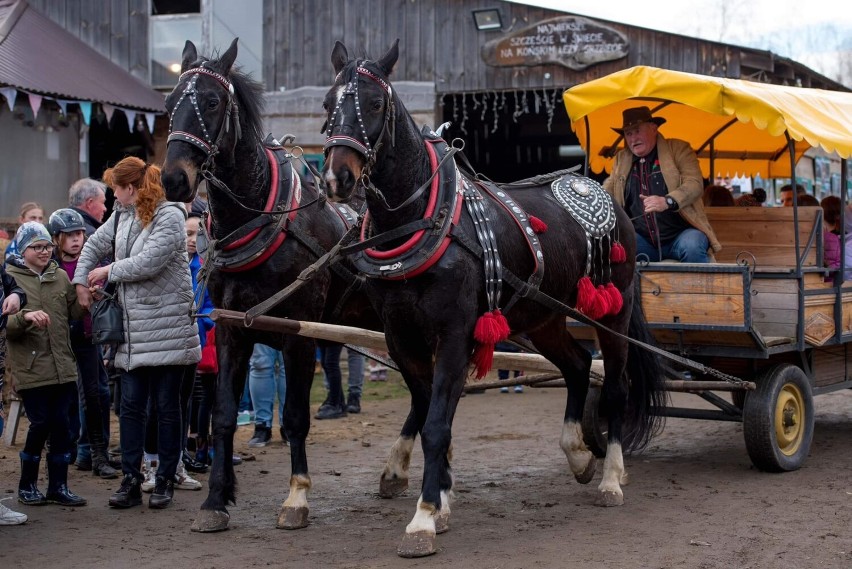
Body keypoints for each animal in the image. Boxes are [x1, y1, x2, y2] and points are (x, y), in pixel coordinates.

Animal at [161, 38, 378, 532]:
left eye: (212, 102)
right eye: (169, 103)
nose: (174, 179)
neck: (259, 220)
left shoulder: (300, 336)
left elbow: (295, 418)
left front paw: (296, 499)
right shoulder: (229, 329)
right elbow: (222, 415)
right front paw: (216, 499)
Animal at [322, 42, 668, 556]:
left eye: (377, 103)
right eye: (328, 104)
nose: (337, 178)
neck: (424, 222)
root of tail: (605, 195)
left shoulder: (454, 333)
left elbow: (436, 424)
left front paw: (423, 519)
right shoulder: (401, 334)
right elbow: (429, 413)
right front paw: (439, 502)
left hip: (615, 311)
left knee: (617, 386)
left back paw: (611, 479)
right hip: (544, 317)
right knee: (577, 366)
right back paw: (577, 453)